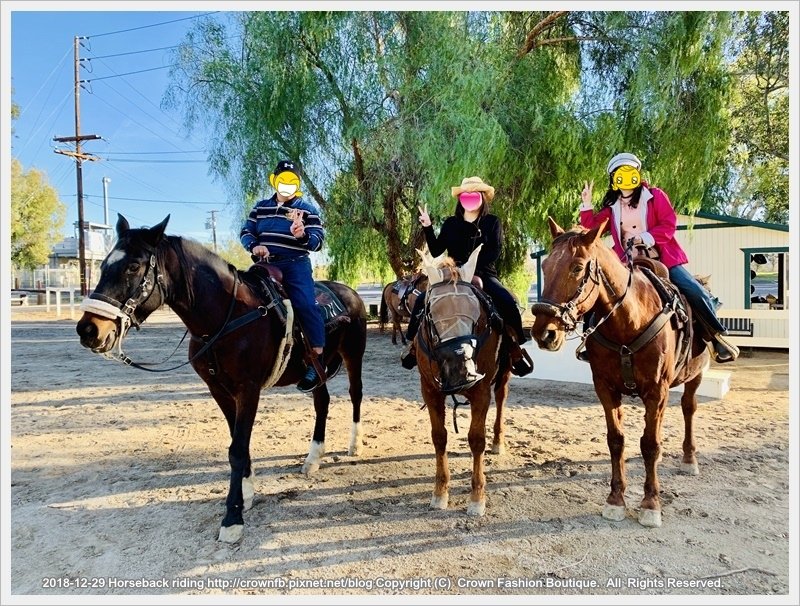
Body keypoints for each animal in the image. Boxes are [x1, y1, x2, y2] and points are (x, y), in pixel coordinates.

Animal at [76, 217, 368, 548]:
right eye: (102, 266)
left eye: (134, 266)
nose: (89, 329)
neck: (227, 318)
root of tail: (350, 292)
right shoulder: (219, 391)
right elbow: (237, 444)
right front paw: (247, 495)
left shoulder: (248, 390)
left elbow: (237, 450)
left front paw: (232, 518)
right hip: (316, 370)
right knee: (322, 402)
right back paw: (313, 458)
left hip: (353, 355)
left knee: (355, 394)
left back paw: (354, 444)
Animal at [412, 247, 512, 516]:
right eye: (431, 314)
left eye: (476, 314)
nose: (461, 370)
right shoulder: (429, 390)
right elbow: (439, 437)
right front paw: (439, 492)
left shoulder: (481, 392)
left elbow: (476, 440)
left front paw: (477, 498)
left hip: (504, 373)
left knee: (501, 398)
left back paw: (498, 441)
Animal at [528, 217, 708, 528]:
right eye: (546, 266)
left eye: (577, 267)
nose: (544, 333)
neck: (629, 321)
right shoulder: (605, 388)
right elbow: (616, 441)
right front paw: (615, 499)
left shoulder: (656, 391)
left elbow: (650, 444)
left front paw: (650, 504)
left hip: (693, 377)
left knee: (688, 408)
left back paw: (689, 458)